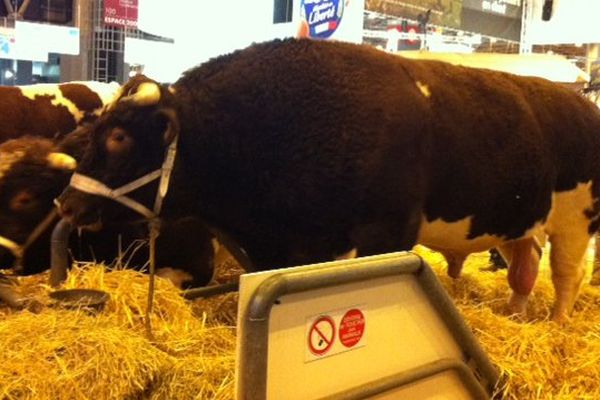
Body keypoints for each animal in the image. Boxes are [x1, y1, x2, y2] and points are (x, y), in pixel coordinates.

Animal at [58, 39, 600, 324]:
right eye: (96, 129)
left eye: (120, 137)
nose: (66, 203)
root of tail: (575, 100)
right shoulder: (283, 246)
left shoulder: (386, 233)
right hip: (520, 220)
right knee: (524, 266)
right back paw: (516, 313)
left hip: (576, 222)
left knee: (567, 275)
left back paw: (556, 324)